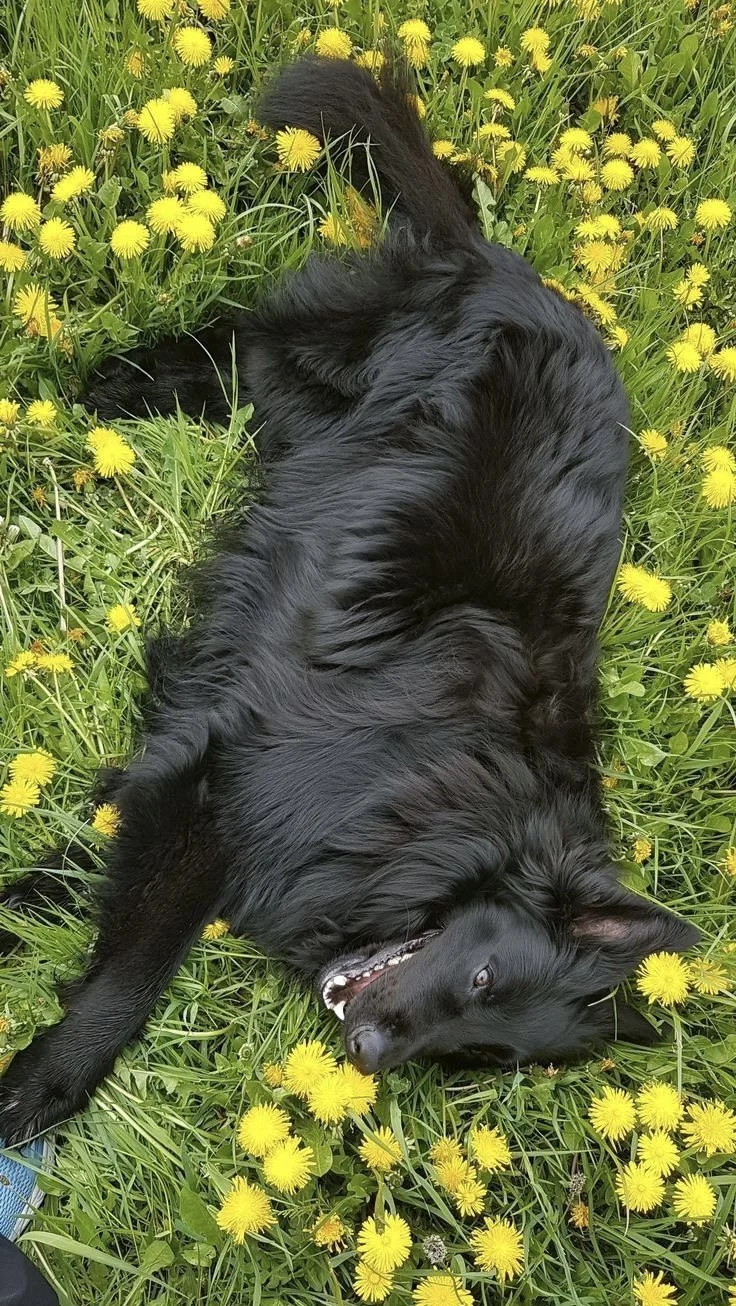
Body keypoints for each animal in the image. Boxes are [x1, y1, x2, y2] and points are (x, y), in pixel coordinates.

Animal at [0, 57, 699, 1144]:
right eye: (484, 975)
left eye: (477, 1054)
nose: (366, 1055)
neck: (450, 795)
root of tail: (503, 263)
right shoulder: (226, 784)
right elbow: (137, 965)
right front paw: (52, 1080)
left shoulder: (206, 781)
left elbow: (91, 860)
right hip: (324, 365)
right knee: (239, 342)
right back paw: (105, 385)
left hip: (304, 411)